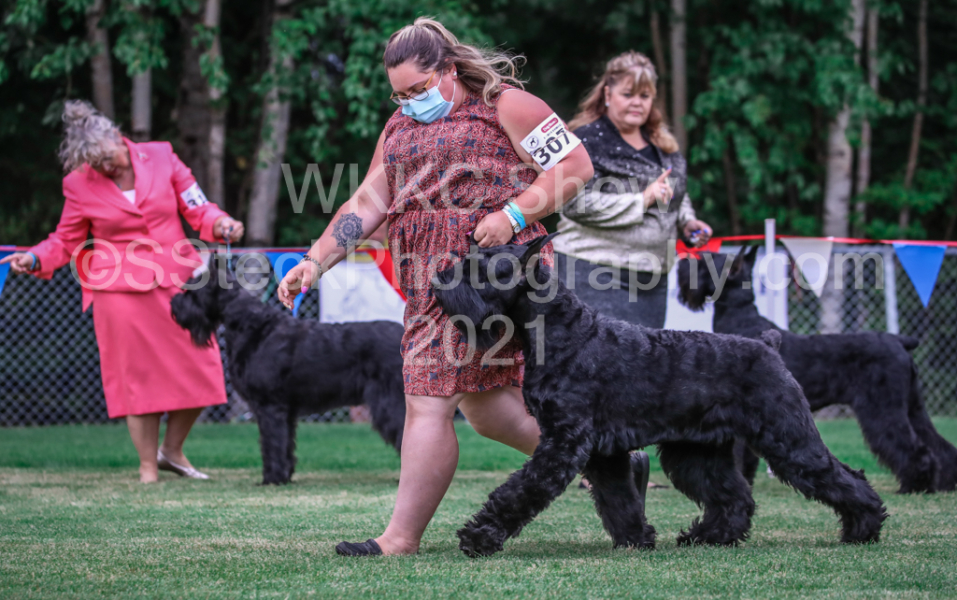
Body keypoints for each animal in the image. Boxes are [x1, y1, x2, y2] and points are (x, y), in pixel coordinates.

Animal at [171, 257, 406, 485]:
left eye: (191, 292)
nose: (173, 304)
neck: (250, 324)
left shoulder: (269, 406)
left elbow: (272, 442)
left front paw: (271, 479)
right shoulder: (285, 412)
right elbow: (285, 444)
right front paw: (284, 476)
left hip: (391, 401)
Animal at [431, 234, 887, 557]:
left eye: (478, 269)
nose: (438, 278)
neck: (562, 333)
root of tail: (768, 344)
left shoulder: (563, 443)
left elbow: (519, 490)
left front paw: (478, 537)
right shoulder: (601, 451)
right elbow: (618, 498)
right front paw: (637, 539)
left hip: (788, 439)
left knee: (842, 477)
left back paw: (863, 528)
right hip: (696, 453)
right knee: (734, 497)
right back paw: (706, 536)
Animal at [677, 246, 957, 493]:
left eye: (705, 262)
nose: (682, 262)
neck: (739, 315)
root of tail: (900, 341)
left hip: (884, 409)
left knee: (911, 447)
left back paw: (915, 485)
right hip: (912, 407)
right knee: (937, 444)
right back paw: (945, 482)